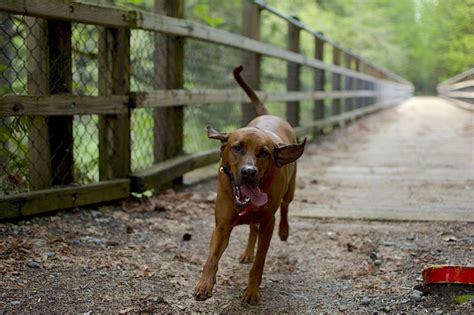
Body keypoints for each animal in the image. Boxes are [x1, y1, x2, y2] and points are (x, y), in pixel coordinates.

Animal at [194, 65, 306, 304]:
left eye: (264, 152)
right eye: (237, 147)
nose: (248, 172)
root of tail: (268, 114)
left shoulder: (268, 224)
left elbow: (259, 264)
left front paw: (252, 291)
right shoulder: (222, 226)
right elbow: (211, 259)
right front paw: (205, 284)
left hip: (289, 191)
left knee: (285, 207)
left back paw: (284, 230)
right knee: (252, 229)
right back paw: (247, 252)